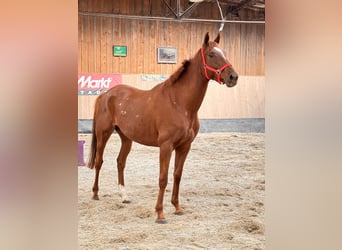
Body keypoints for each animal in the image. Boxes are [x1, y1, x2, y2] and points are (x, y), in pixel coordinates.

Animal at [87, 31, 238, 223]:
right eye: (211, 54)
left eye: (224, 52)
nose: (233, 77)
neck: (179, 103)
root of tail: (105, 95)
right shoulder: (166, 146)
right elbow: (163, 178)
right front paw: (160, 213)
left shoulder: (184, 146)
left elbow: (177, 175)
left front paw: (177, 207)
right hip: (103, 134)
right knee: (99, 162)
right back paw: (95, 194)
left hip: (126, 138)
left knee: (120, 162)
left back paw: (124, 196)